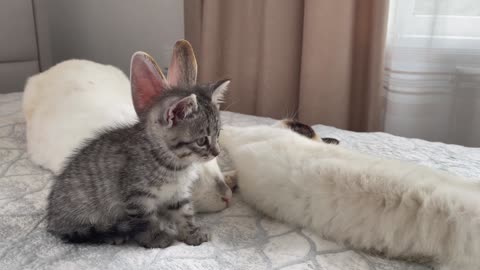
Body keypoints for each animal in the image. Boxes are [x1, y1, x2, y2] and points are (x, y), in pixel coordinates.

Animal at [47, 49, 231, 248]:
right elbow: (146, 220)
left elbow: (184, 212)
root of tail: (52, 219)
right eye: (202, 141)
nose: (216, 152)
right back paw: (112, 235)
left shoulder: (177, 192)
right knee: (81, 232)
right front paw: (156, 237)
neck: (173, 163)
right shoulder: (137, 195)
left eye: (218, 135)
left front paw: (192, 232)